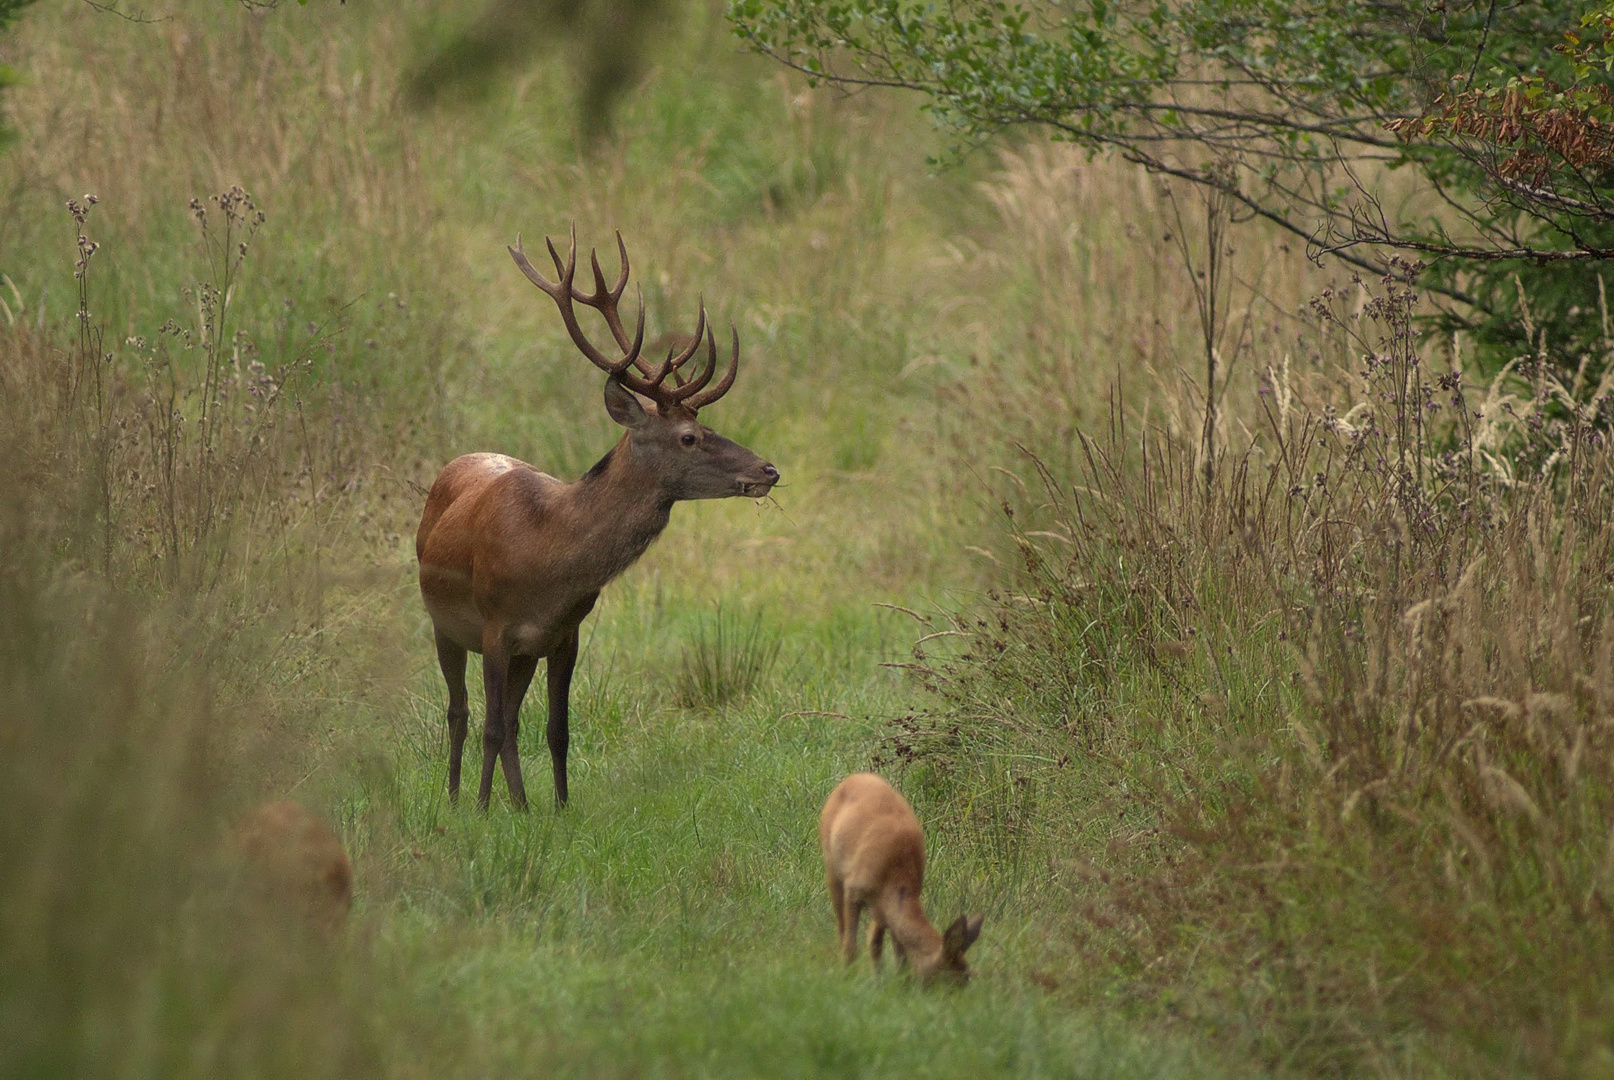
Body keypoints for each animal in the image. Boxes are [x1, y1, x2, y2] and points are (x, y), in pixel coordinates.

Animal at [409, 232, 774, 813]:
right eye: (689, 437)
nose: (768, 470)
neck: (546, 554)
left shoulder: (563, 634)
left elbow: (556, 729)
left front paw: (557, 810)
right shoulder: (493, 628)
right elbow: (490, 725)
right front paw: (485, 811)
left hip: (522, 653)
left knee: (511, 722)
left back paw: (520, 804)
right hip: (443, 622)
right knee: (461, 714)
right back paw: (458, 797)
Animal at [819, 771, 981, 981]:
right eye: (949, 979)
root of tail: (854, 776)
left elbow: (892, 948)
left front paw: (892, 980)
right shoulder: (854, 889)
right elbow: (851, 944)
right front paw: (849, 976)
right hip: (832, 865)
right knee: (842, 929)